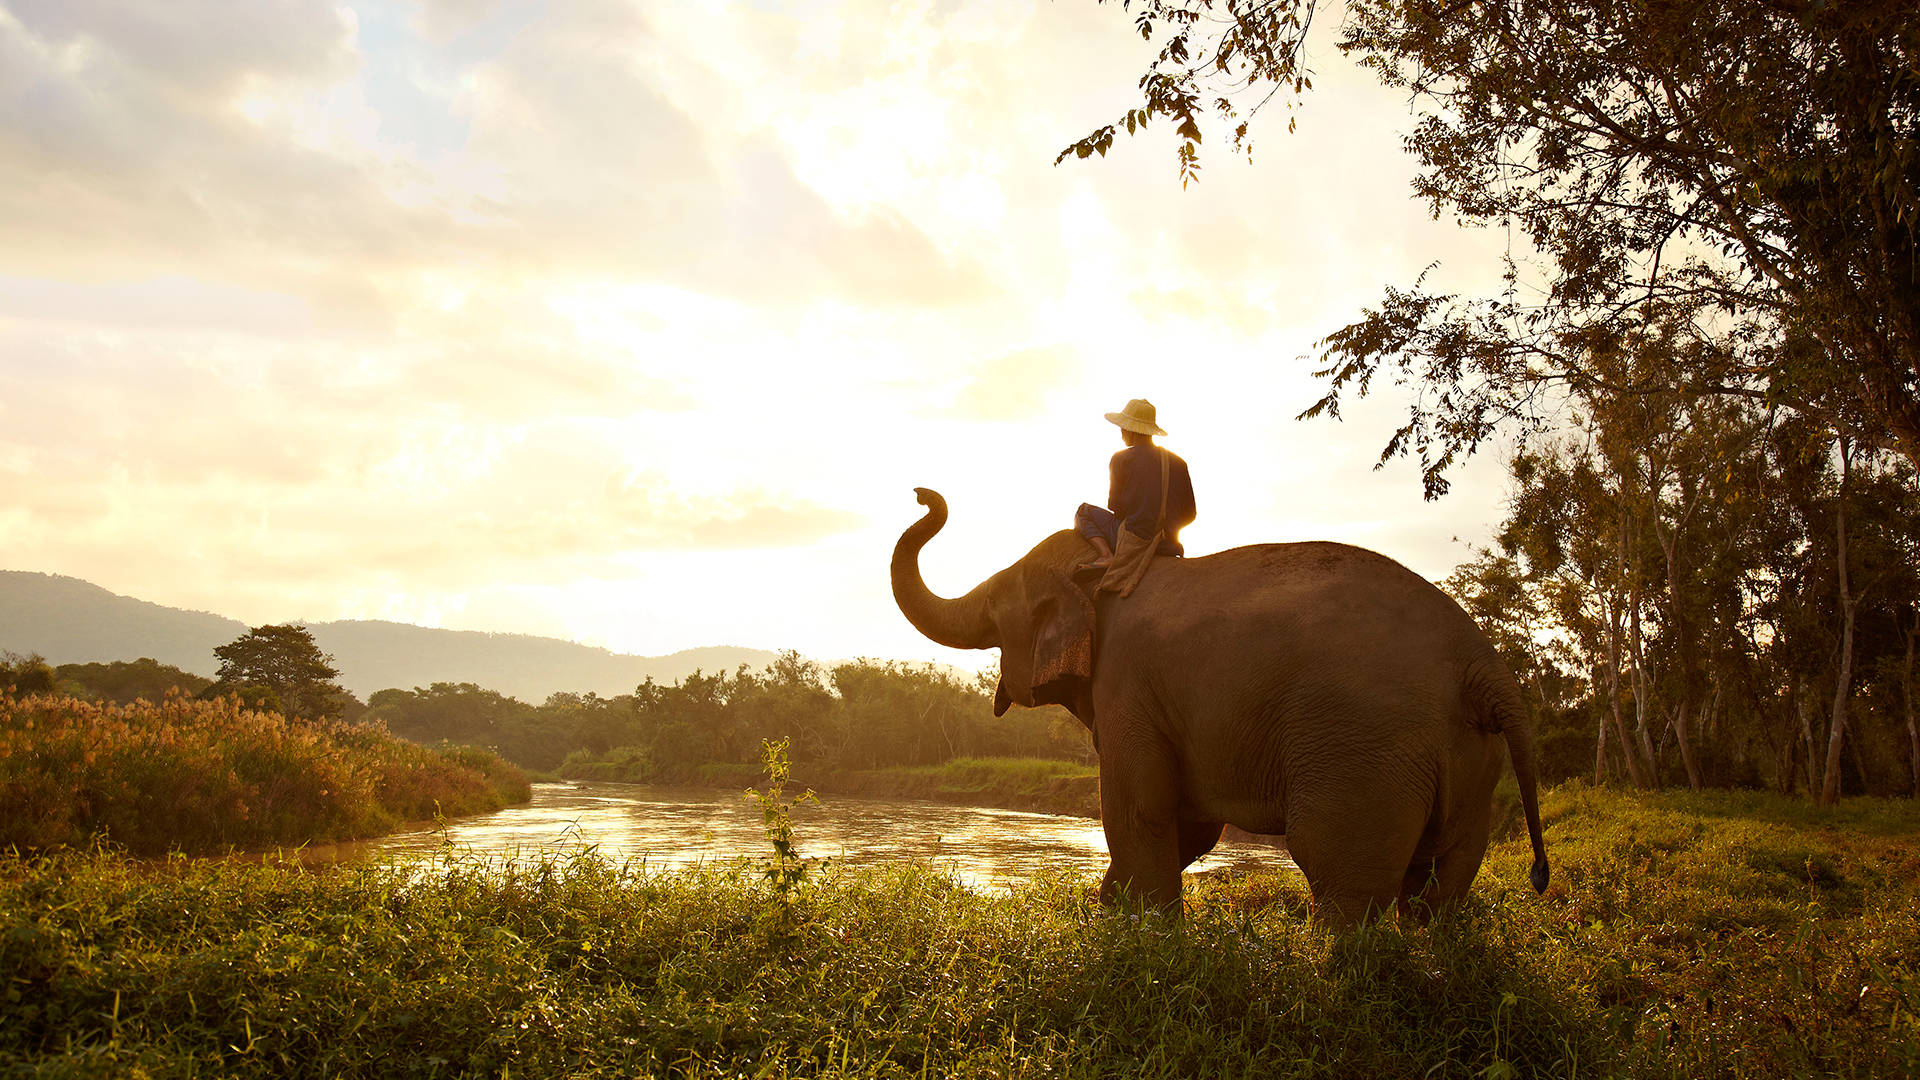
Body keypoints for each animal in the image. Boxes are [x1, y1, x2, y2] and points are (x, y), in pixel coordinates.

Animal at [891, 488, 1549, 923]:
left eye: (996, 603)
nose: (924, 495)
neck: (1105, 571)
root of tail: (1483, 662)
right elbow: (1190, 822)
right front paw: (1111, 909)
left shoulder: (1128, 684)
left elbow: (1140, 808)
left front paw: (1143, 938)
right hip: (1471, 760)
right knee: (1445, 874)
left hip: (1367, 751)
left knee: (1339, 867)